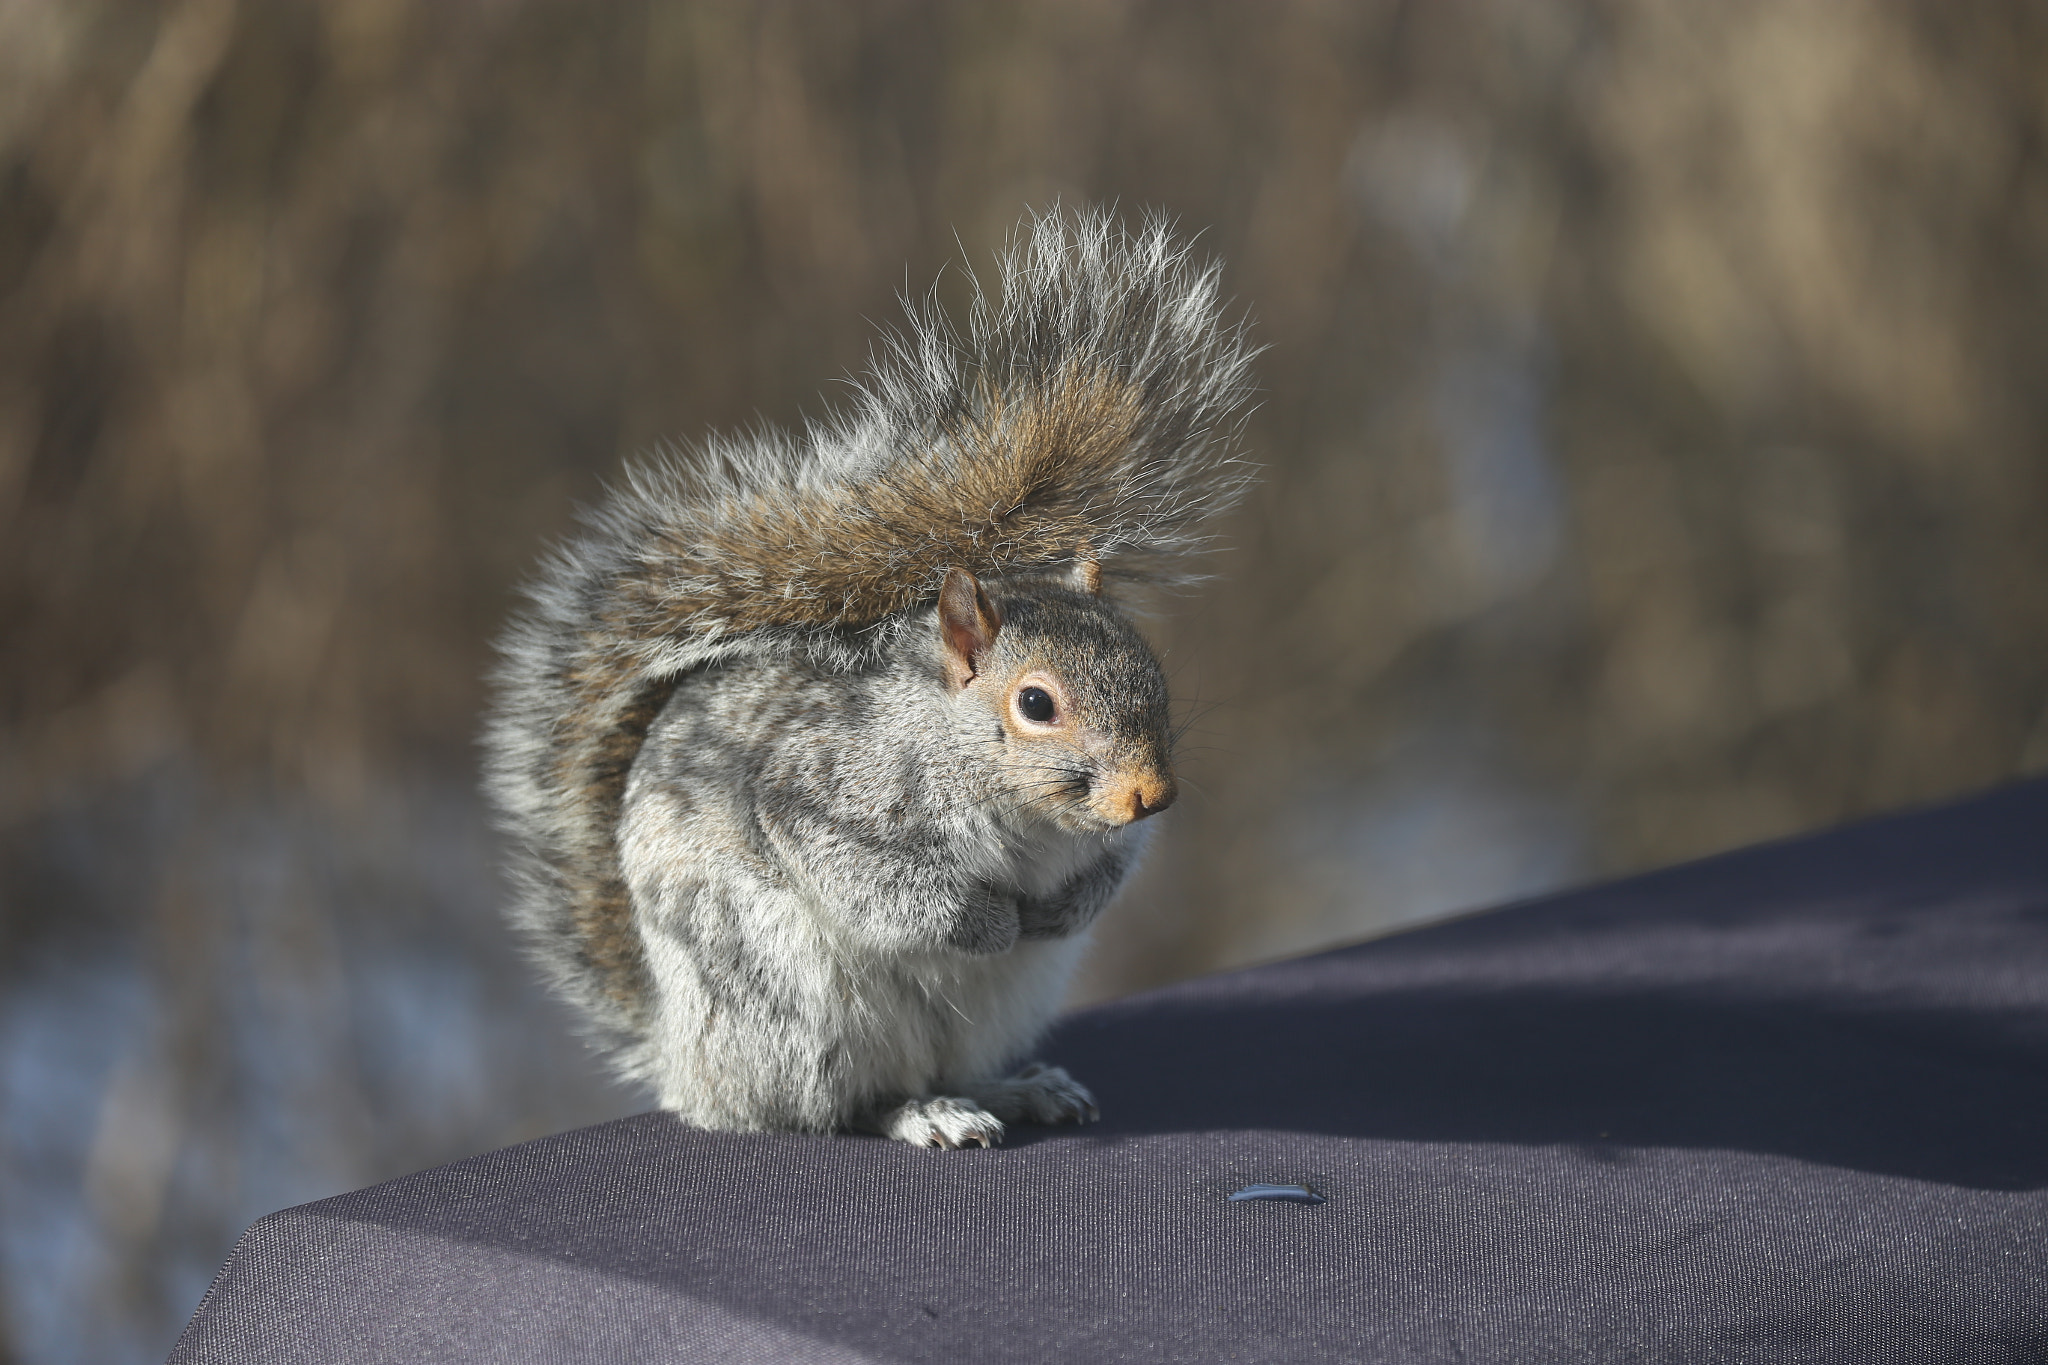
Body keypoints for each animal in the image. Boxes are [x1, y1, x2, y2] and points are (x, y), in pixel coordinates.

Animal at [482, 208, 1256, 1149]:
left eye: (1151, 669)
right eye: (1035, 703)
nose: (1155, 794)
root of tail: (685, 1059)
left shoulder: (1108, 837)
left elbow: (1113, 865)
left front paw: (1062, 910)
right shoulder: (822, 794)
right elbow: (880, 883)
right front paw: (989, 919)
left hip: (986, 1012)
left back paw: (1016, 1088)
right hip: (792, 1007)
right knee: (843, 1104)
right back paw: (925, 1112)